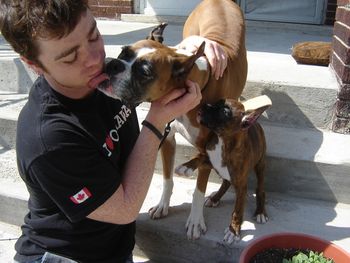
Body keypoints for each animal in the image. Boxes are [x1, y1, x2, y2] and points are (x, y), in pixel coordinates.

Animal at [97, 0, 247, 240]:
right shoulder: (167, 138)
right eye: (122, 52)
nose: (112, 64)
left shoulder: (208, 148)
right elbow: (167, 178)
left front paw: (195, 220)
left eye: (145, 72)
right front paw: (163, 205)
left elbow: (198, 190)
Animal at [191, 96, 270, 244]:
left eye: (225, 112)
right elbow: (198, 158)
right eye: (216, 102)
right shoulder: (208, 158)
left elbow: (237, 211)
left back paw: (260, 211)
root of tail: (255, 124)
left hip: (260, 165)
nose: (203, 106)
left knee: (260, 188)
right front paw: (185, 167)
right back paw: (215, 198)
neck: (224, 142)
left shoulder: (242, 187)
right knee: (226, 182)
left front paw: (233, 230)